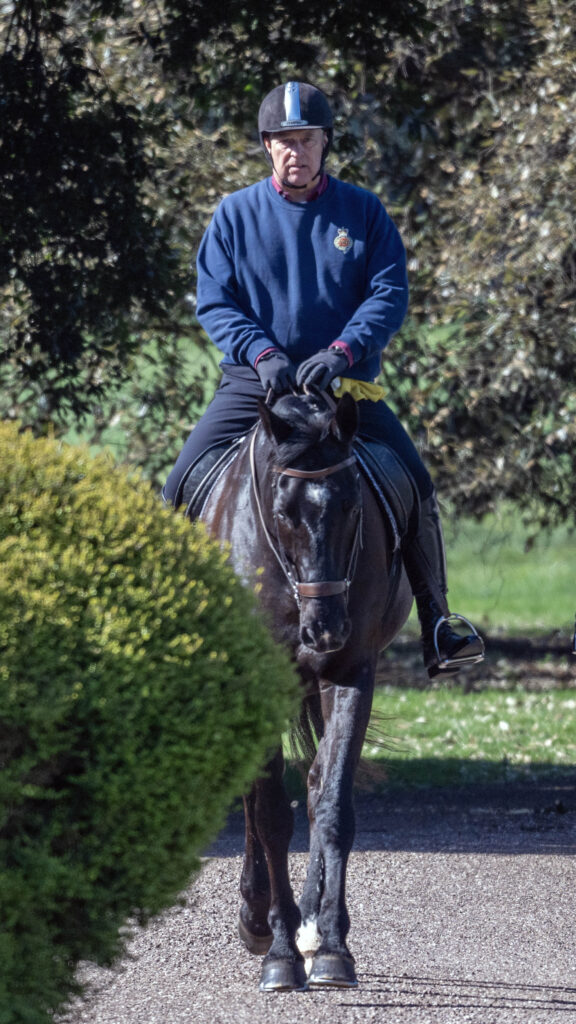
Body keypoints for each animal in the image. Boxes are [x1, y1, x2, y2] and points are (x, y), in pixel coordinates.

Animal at [189, 387, 413, 992]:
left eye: (354, 506)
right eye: (284, 511)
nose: (325, 630)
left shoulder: (352, 673)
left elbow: (331, 805)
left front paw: (331, 947)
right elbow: (269, 815)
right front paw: (279, 952)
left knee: (314, 787)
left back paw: (309, 923)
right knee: (255, 799)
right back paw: (258, 918)